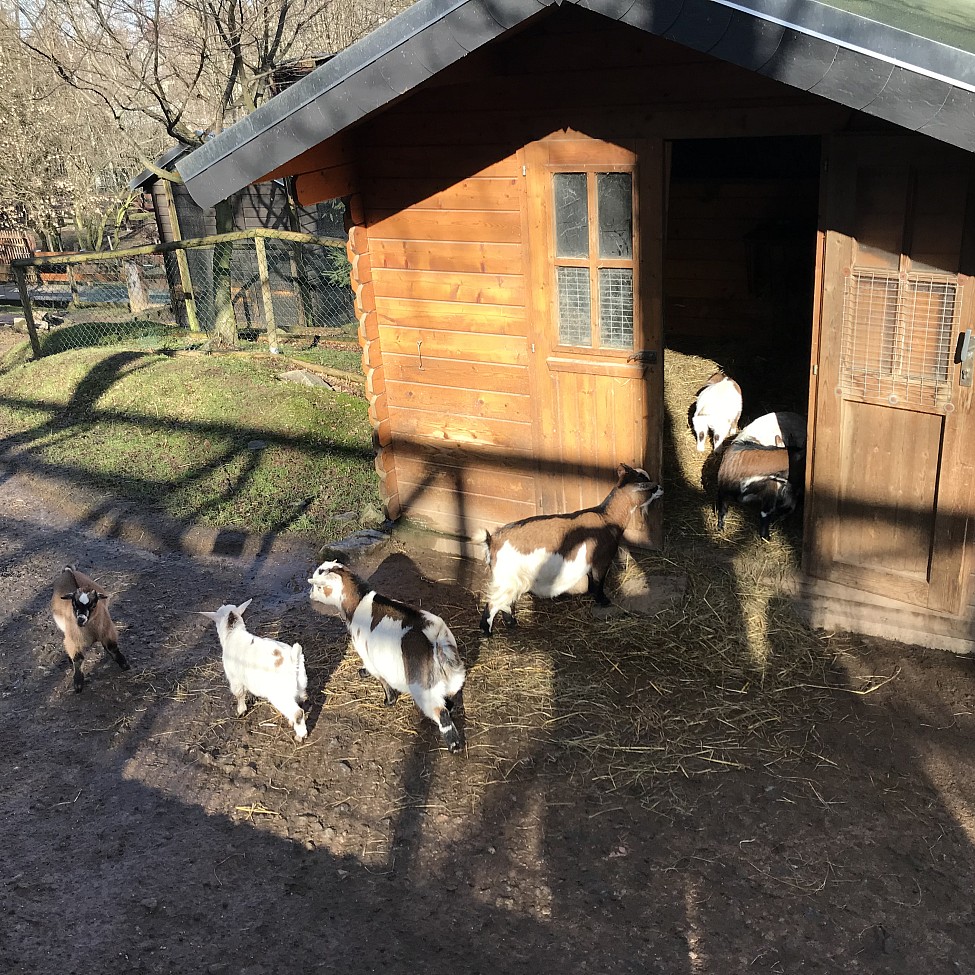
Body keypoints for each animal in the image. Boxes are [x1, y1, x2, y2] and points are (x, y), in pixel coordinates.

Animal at [51, 564, 130, 692]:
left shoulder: (107, 631)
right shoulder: (72, 640)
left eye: (93, 604)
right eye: (74, 604)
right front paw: (78, 684)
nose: (80, 619)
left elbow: (112, 647)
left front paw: (124, 664)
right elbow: (78, 659)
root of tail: (68, 571)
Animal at [204, 600, 310, 744]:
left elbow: (239, 694)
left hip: (280, 694)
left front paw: (241, 711)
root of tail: (294, 659)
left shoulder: (235, 679)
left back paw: (300, 735)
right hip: (300, 685)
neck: (234, 634)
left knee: (297, 712)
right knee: (301, 701)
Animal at [308, 564, 468, 756]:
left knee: (441, 713)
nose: (309, 594)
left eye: (318, 585)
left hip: (424, 689)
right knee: (449, 701)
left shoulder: (370, 658)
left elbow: (382, 680)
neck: (358, 603)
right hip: (454, 679)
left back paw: (455, 746)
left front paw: (388, 700)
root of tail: (437, 639)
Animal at [474, 464, 664, 636]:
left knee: (505, 602)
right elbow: (599, 581)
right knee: (493, 603)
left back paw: (512, 623)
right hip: (507, 577)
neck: (606, 517)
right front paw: (603, 601)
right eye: (650, 485)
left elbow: (591, 579)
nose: (661, 488)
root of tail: (492, 541)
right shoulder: (602, 559)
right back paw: (487, 632)